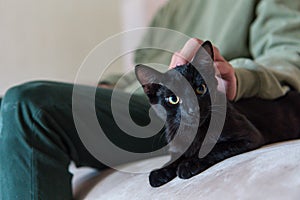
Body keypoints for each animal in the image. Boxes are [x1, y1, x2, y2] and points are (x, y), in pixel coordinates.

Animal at [135, 41, 300, 188]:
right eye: (173, 99)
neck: (193, 133)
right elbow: (176, 157)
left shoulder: (249, 136)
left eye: (200, 89)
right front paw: (161, 171)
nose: (192, 110)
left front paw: (188, 164)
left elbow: (213, 148)